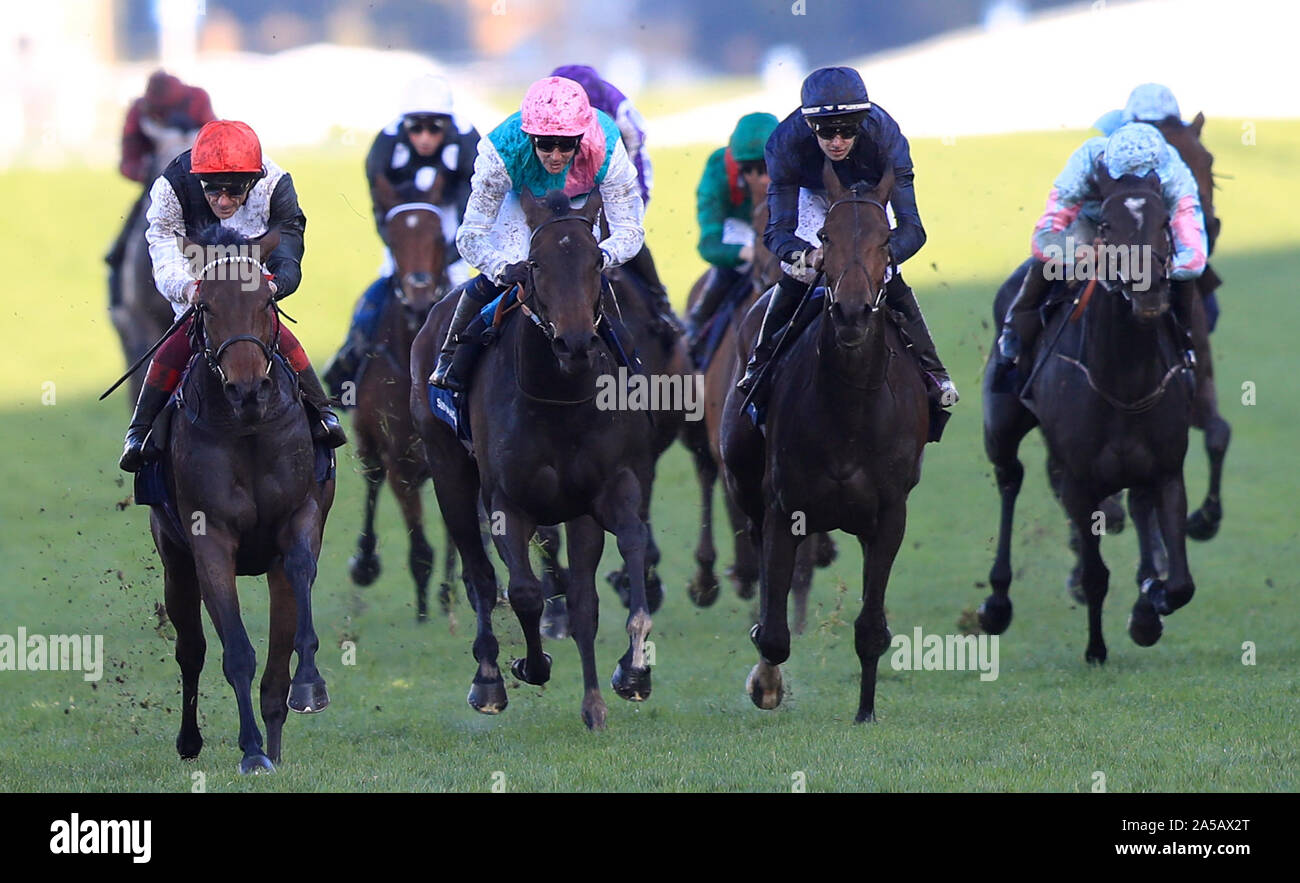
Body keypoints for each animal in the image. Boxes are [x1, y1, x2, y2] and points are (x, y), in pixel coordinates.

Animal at [147, 227, 335, 775]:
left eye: (267, 301)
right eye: (205, 306)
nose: (249, 390)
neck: (248, 429)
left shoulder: (300, 517)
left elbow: (299, 568)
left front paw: (311, 685)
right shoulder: (209, 539)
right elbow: (235, 653)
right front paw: (251, 752)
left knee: (275, 672)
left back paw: (278, 734)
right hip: (174, 561)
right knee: (191, 650)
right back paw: (196, 742)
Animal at [413, 188, 660, 733]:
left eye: (597, 262)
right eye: (535, 264)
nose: (576, 343)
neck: (560, 398)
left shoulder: (606, 489)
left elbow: (625, 552)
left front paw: (628, 674)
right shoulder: (506, 500)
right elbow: (523, 591)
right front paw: (532, 664)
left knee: (580, 595)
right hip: (448, 473)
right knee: (480, 576)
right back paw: (488, 679)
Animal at [717, 167, 930, 723]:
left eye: (885, 241)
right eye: (825, 237)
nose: (853, 312)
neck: (850, 410)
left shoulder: (889, 516)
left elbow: (871, 628)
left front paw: (865, 712)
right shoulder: (782, 509)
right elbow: (772, 633)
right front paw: (765, 685)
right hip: (745, 482)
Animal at [982, 170, 1196, 663]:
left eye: (1163, 222)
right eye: (1107, 226)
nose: (1148, 290)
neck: (1124, 381)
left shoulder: (1167, 470)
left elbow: (1180, 584)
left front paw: (1150, 603)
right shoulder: (1081, 481)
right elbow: (1097, 576)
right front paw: (1096, 648)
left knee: (1136, 506)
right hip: (1000, 426)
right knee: (1010, 479)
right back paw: (997, 602)